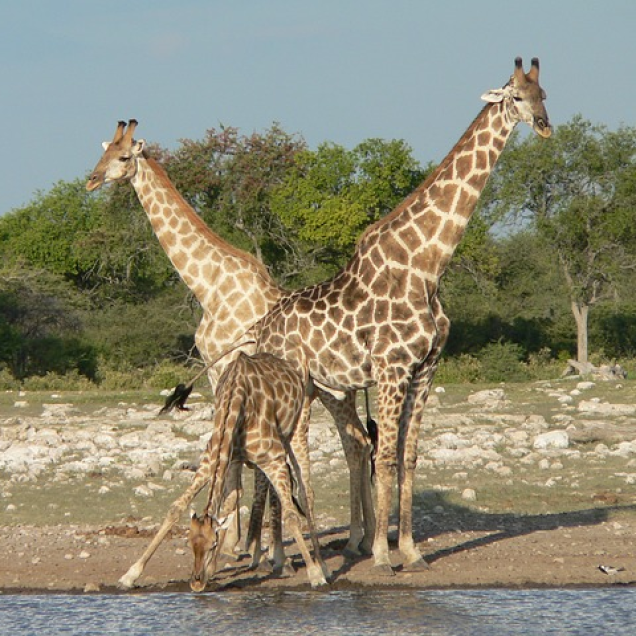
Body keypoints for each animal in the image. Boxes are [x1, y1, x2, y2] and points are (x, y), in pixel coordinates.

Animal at [87, 121, 378, 560]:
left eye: (122, 157)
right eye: (101, 154)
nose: (91, 180)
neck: (208, 285)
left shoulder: (224, 366)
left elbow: (233, 451)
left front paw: (231, 542)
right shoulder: (218, 371)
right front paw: (241, 540)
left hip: (334, 392)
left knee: (357, 444)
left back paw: (361, 537)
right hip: (334, 392)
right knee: (358, 442)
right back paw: (365, 536)